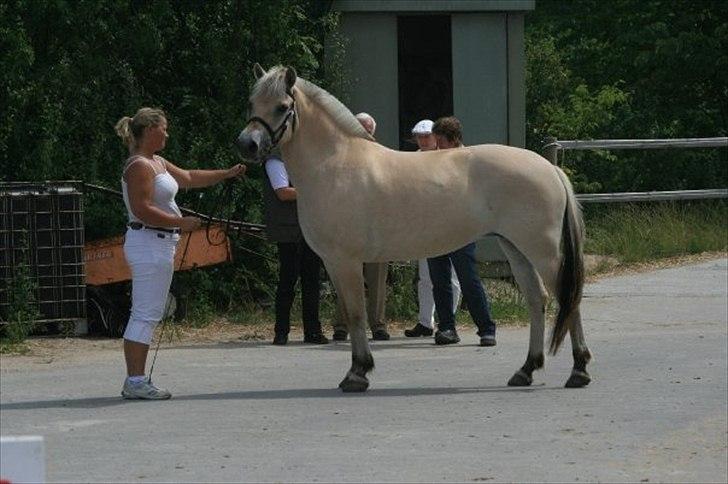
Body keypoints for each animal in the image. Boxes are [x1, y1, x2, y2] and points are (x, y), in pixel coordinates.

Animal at [237, 64, 592, 392]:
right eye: (252, 102)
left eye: (282, 106)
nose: (247, 145)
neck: (335, 164)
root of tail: (549, 168)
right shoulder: (334, 263)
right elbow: (352, 315)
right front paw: (358, 370)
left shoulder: (345, 261)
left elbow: (356, 315)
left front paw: (357, 373)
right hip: (515, 248)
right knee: (537, 299)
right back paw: (526, 370)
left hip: (542, 251)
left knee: (567, 297)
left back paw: (579, 371)